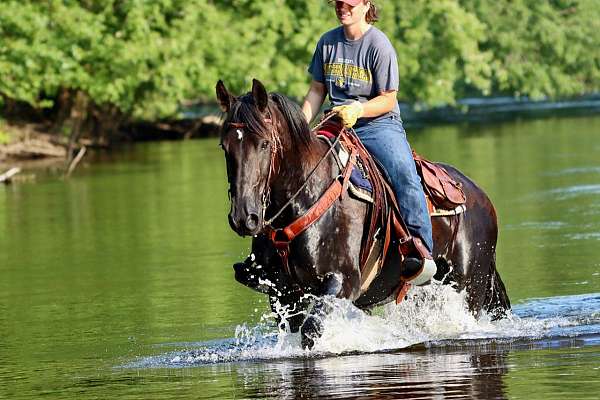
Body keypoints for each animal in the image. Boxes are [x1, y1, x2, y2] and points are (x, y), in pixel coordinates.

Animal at [217, 79, 510, 348]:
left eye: (265, 144)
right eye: (224, 146)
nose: (244, 217)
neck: (306, 195)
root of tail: (481, 196)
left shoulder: (342, 281)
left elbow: (311, 331)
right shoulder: (283, 292)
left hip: (469, 286)